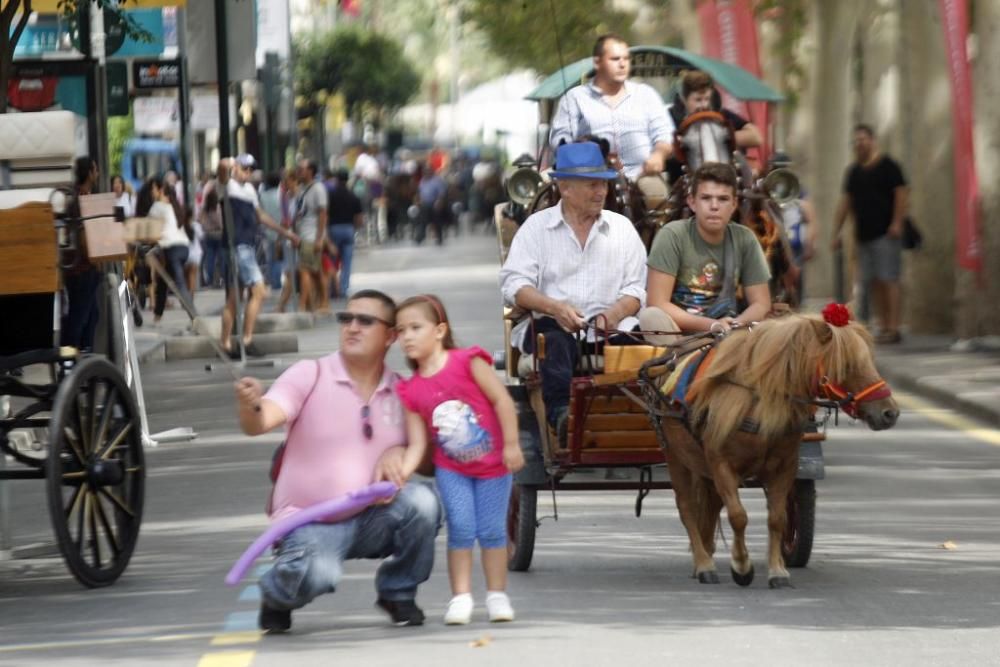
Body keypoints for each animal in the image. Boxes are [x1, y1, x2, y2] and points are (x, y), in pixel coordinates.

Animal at [656, 316, 900, 588]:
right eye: (846, 365)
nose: (890, 413)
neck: (756, 405)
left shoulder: (785, 467)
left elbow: (777, 519)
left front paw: (777, 570)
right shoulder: (722, 465)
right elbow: (738, 516)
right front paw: (742, 566)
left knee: (710, 506)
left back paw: (706, 554)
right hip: (675, 455)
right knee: (687, 506)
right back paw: (704, 564)